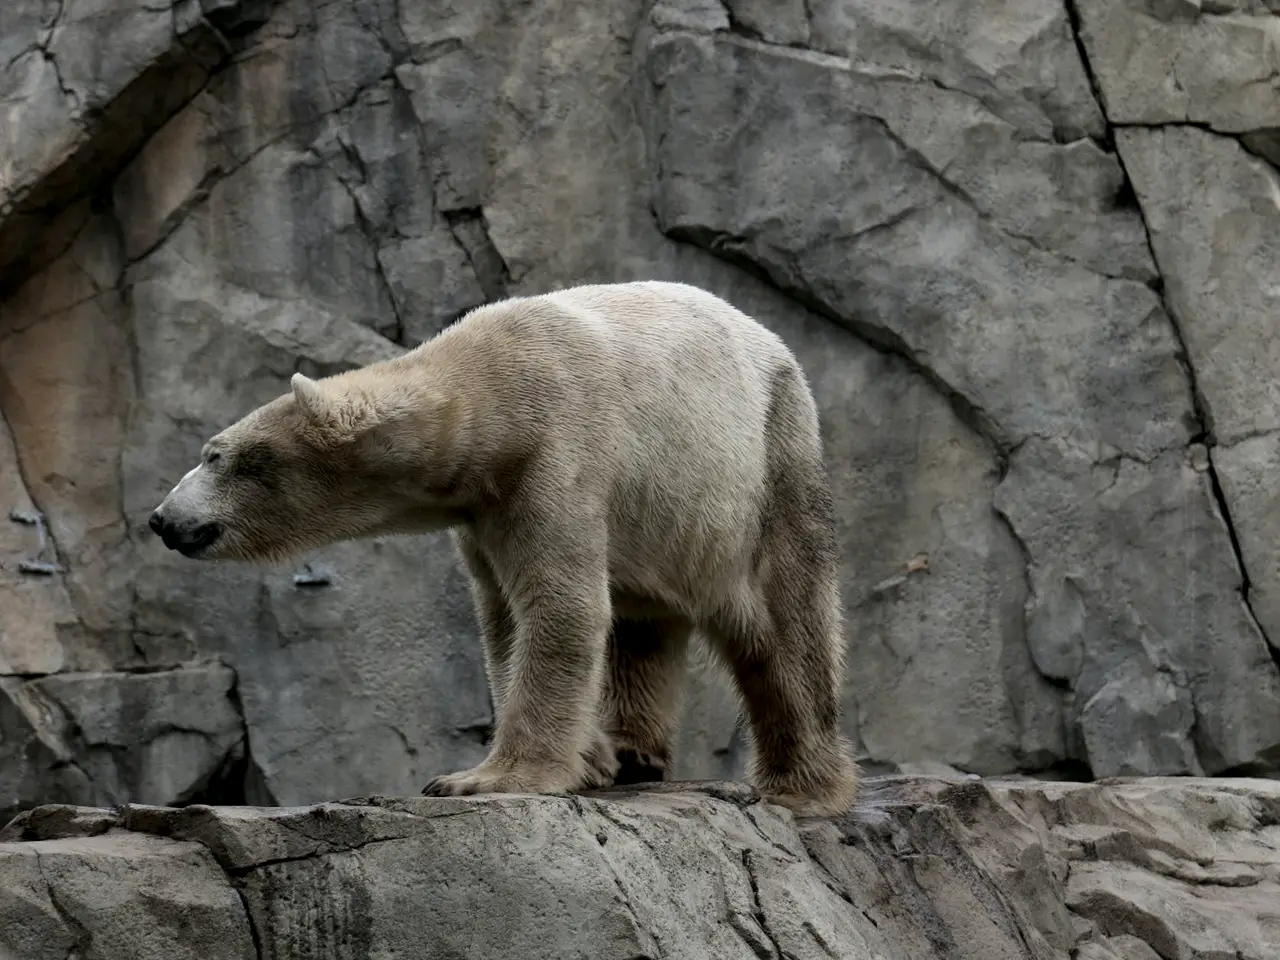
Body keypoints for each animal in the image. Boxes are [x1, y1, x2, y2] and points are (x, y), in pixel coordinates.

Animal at [149, 280, 861, 817]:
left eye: (214, 455)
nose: (161, 519)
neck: (492, 386)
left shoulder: (561, 454)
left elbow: (559, 607)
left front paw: (482, 778)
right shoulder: (482, 510)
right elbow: (506, 619)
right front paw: (590, 759)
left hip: (771, 454)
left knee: (786, 623)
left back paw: (800, 785)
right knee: (641, 624)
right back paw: (631, 752)